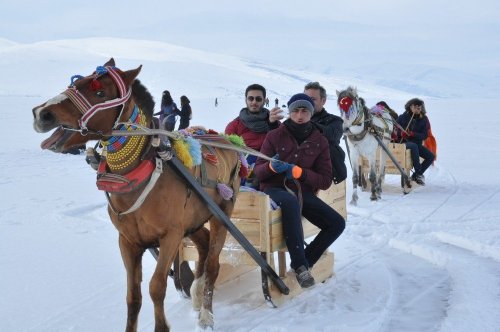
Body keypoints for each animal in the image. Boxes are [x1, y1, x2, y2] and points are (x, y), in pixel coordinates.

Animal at [31, 58, 242, 330]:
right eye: (76, 82)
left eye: (100, 93)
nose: (42, 113)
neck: (136, 179)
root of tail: (228, 140)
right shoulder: (128, 241)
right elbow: (133, 296)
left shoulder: (170, 236)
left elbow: (156, 287)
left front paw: (162, 326)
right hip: (193, 221)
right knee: (204, 245)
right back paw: (196, 292)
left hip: (221, 215)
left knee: (214, 263)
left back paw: (206, 314)